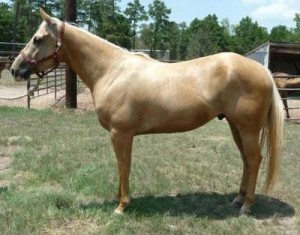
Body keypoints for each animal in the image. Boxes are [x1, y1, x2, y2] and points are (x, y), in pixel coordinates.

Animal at [10, 9, 284, 215]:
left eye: (37, 39)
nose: (15, 69)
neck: (112, 71)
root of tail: (263, 71)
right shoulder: (122, 135)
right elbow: (122, 166)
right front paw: (118, 198)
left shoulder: (121, 134)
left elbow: (123, 166)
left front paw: (121, 206)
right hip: (235, 126)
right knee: (246, 160)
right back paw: (238, 199)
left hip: (248, 129)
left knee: (254, 159)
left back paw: (246, 206)